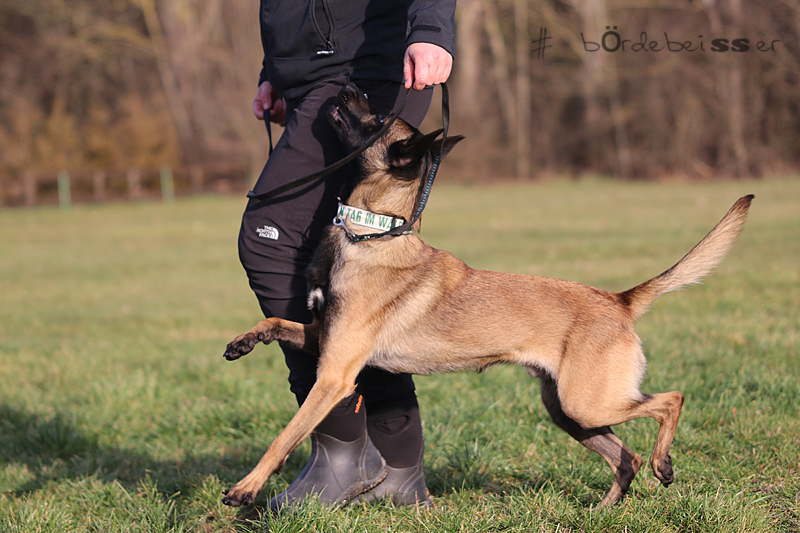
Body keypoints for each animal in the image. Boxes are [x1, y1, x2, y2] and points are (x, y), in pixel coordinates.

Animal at [220, 82, 753, 508]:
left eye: (377, 121)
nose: (348, 86)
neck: (369, 233)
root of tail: (618, 299)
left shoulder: (334, 375)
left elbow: (285, 437)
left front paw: (246, 488)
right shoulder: (324, 339)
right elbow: (277, 324)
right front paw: (244, 340)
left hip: (588, 403)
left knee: (671, 400)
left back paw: (664, 464)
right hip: (569, 411)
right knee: (628, 456)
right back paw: (605, 510)